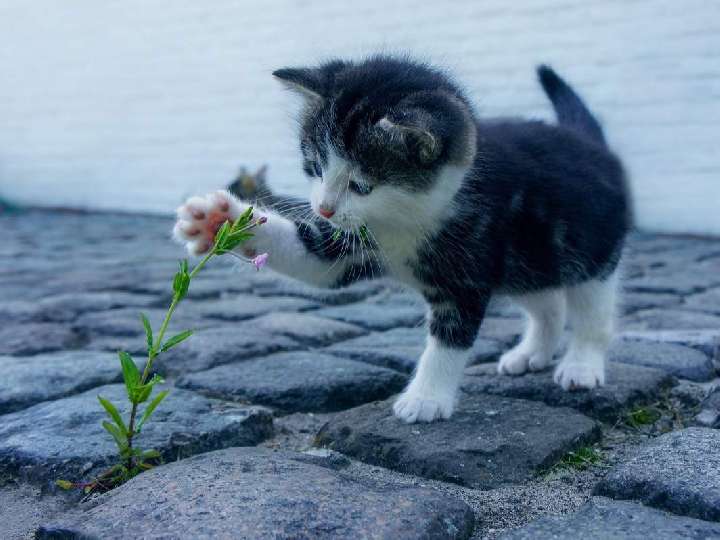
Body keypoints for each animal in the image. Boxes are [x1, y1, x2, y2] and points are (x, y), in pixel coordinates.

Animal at [174, 57, 632, 424]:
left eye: (361, 185)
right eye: (315, 166)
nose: (323, 208)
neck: (406, 219)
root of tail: (591, 143)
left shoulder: (468, 269)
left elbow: (449, 338)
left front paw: (426, 398)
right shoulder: (351, 243)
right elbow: (313, 259)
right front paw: (218, 220)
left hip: (590, 249)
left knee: (592, 310)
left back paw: (581, 365)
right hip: (527, 261)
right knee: (548, 303)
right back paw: (532, 352)